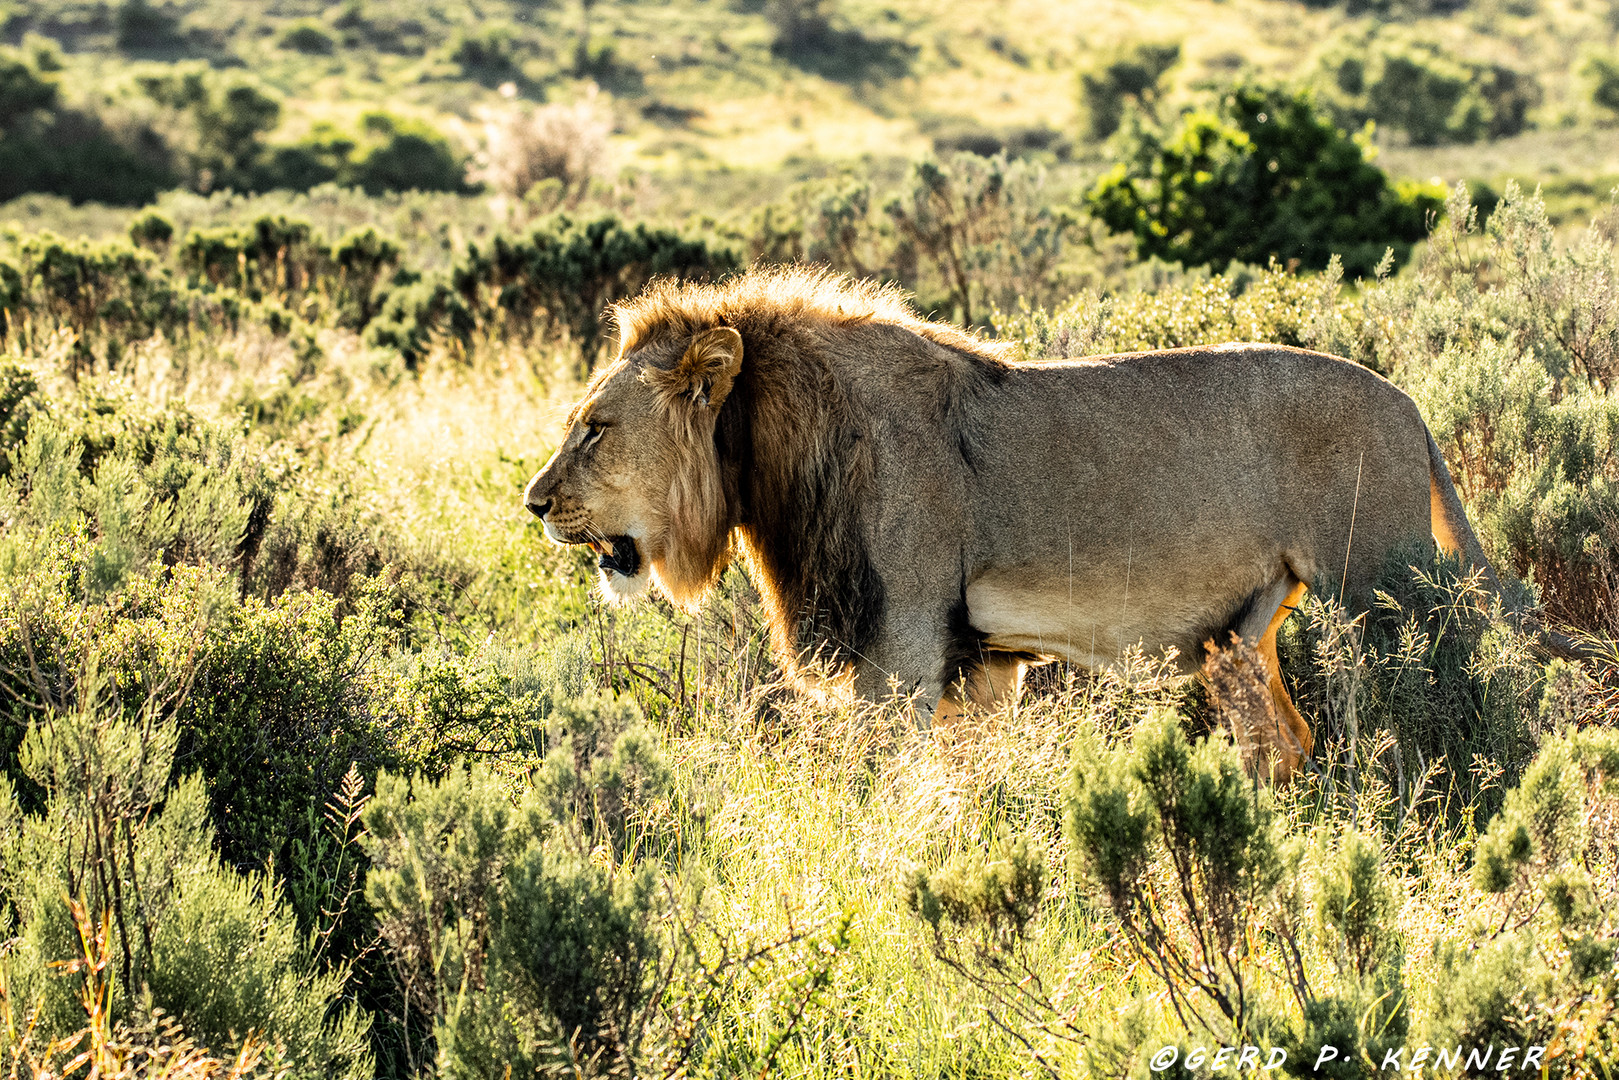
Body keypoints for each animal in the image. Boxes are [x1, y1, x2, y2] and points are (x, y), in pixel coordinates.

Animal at [524, 267, 1573, 780]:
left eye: (594, 427)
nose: (533, 504)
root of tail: (1410, 404)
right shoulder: (980, 666)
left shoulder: (898, 657)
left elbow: (879, 794)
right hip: (1244, 633)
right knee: (1283, 740)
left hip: (1386, 588)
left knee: (1455, 697)